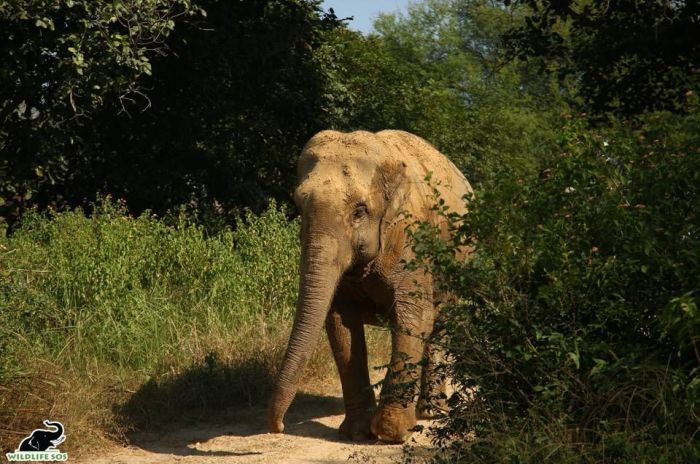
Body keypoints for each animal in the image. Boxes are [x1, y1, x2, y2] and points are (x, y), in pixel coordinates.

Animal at [266, 128, 470, 442]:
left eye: (359, 211)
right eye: (299, 206)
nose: (278, 426)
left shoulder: (410, 240)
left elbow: (413, 317)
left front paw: (391, 433)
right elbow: (340, 326)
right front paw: (356, 432)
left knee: (442, 324)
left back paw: (432, 412)